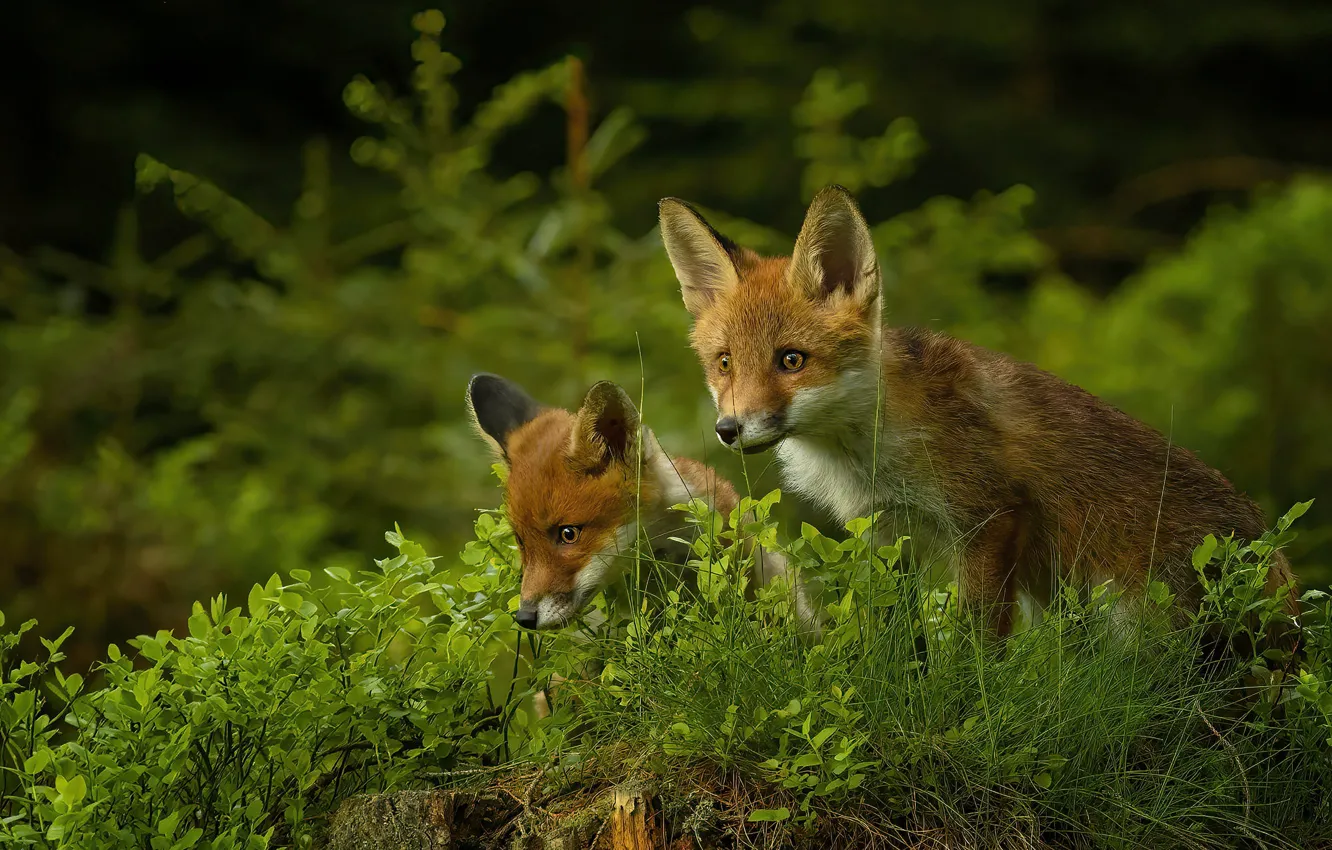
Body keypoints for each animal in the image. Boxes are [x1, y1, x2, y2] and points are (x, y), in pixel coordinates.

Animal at [658, 185, 1299, 639]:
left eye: (791, 360)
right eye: (724, 364)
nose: (728, 430)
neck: (873, 447)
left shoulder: (991, 517)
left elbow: (976, 638)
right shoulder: (885, 529)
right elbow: (896, 636)